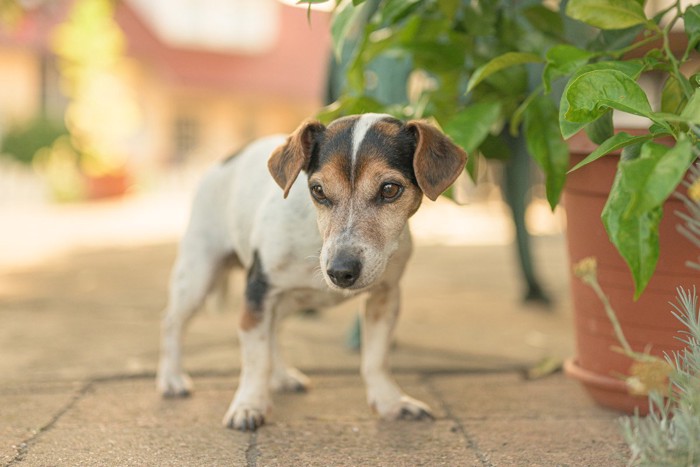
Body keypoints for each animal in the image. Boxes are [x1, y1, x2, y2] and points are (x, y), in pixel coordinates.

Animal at [156, 113, 468, 432]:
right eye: (318, 191)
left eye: (390, 189)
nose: (340, 272)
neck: (317, 238)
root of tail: (227, 158)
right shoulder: (259, 290)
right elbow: (256, 358)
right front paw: (248, 405)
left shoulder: (385, 295)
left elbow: (376, 359)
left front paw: (390, 403)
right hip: (197, 276)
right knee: (172, 322)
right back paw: (172, 379)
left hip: (287, 302)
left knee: (273, 331)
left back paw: (282, 377)